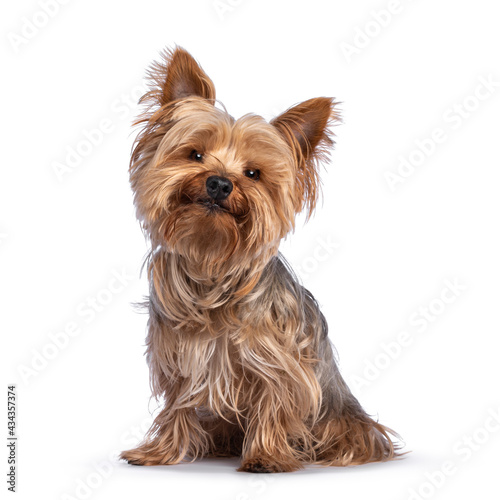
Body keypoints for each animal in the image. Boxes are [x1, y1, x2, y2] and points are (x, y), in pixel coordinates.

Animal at [119, 47, 400, 472]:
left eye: (253, 173)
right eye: (195, 154)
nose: (219, 183)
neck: (212, 263)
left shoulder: (278, 359)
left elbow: (276, 399)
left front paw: (267, 456)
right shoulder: (177, 354)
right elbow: (176, 405)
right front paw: (161, 452)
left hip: (342, 420)